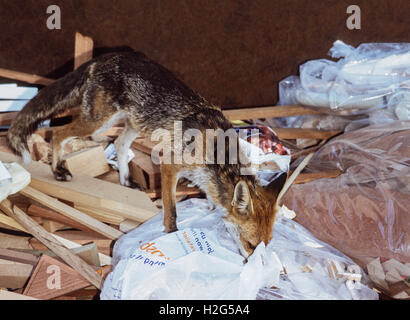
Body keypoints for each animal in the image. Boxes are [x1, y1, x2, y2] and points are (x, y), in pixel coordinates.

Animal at [7, 53, 288, 258]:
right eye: (250, 244)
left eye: (266, 244)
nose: (253, 264)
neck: (216, 154)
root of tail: (106, 57)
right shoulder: (169, 165)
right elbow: (171, 212)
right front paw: (172, 235)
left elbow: (210, 195)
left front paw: (209, 207)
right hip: (97, 123)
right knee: (57, 133)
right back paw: (58, 170)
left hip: (132, 124)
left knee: (119, 144)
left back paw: (125, 180)